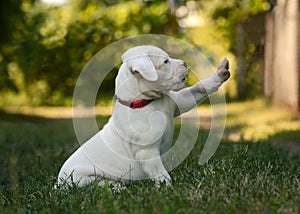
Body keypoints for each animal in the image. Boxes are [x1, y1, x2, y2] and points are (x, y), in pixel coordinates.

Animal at [56, 45, 230, 187]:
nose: (185, 63)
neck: (145, 102)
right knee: (96, 184)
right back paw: (115, 186)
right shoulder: (147, 153)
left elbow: (198, 89)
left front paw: (220, 73)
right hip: (81, 178)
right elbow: (160, 173)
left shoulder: (178, 102)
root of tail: (57, 186)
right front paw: (168, 188)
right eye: (165, 61)